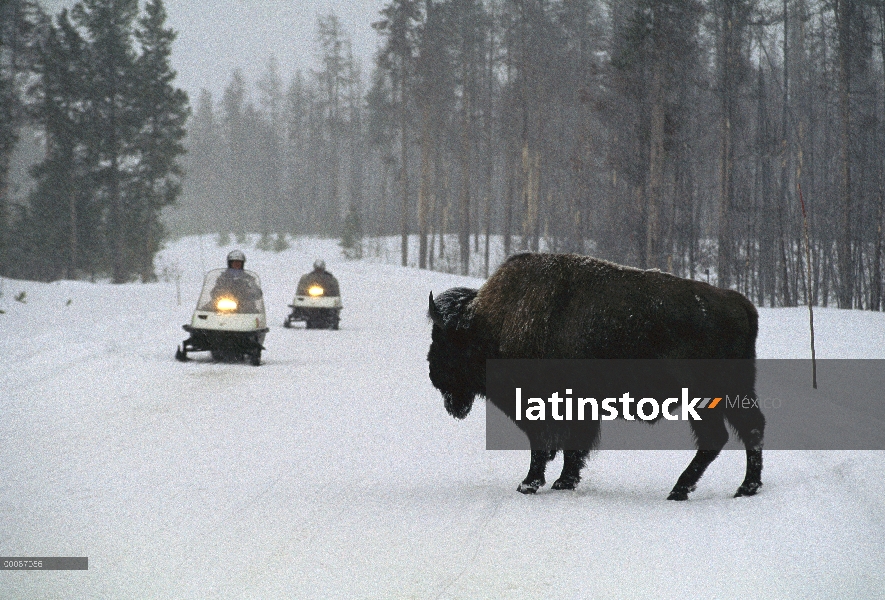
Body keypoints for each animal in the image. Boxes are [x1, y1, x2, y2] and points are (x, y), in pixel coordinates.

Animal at [424, 253, 764, 502]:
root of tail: (740, 303)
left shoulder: (543, 407)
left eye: (443, 339)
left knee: (717, 437)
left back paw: (680, 491)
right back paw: (745, 488)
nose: (432, 372)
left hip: (704, 398)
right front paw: (563, 482)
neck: (492, 323)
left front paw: (529, 484)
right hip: (733, 392)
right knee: (750, 429)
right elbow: (572, 448)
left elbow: (544, 445)